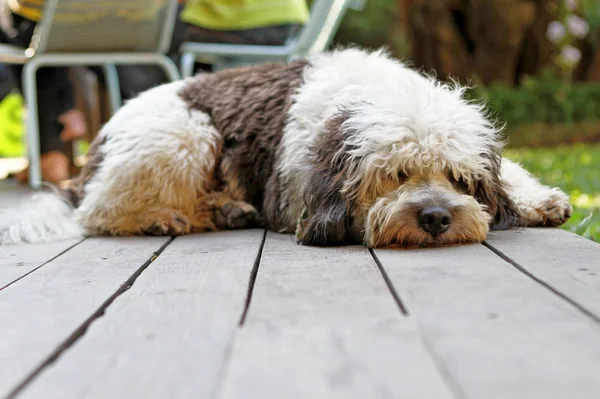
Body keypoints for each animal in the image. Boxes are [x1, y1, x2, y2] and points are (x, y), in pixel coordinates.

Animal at [0, 48, 576, 248]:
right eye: (395, 176)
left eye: (459, 179)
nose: (436, 217)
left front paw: (539, 199)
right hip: (185, 138)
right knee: (98, 212)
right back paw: (163, 218)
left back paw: (227, 210)